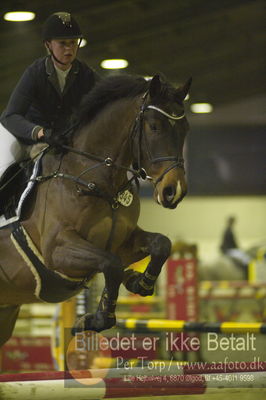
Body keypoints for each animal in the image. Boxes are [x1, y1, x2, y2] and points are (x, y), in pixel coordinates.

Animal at [0, 75, 191, 346]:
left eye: (185, 129)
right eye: (154, 127)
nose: (174, 191)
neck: (96, 178)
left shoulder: (121, 241)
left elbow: (161, 244)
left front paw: (138, 282)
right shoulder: (57, 249)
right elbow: (111, 265)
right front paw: (94, 319)